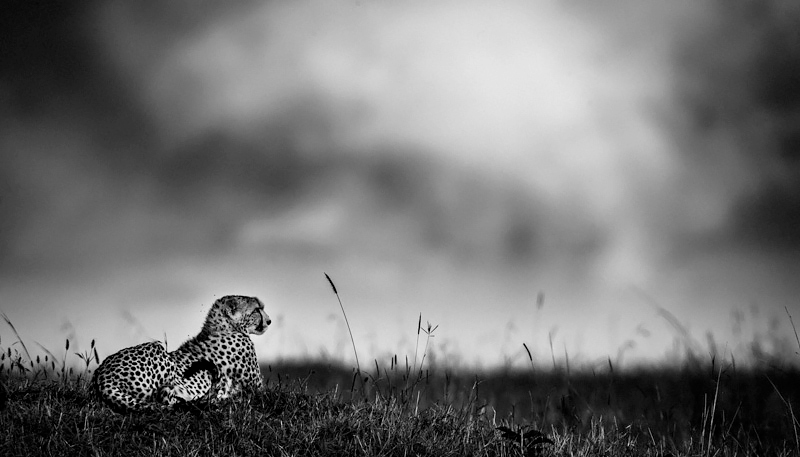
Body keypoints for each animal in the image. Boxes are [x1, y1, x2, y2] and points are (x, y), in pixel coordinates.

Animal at [92, 294, 270, 412]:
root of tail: (101, 374)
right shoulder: (257, 388)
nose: (269, 321)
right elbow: (263, 393)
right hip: (158, 350)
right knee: (164, 395)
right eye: (257, 310)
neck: (223, 327)